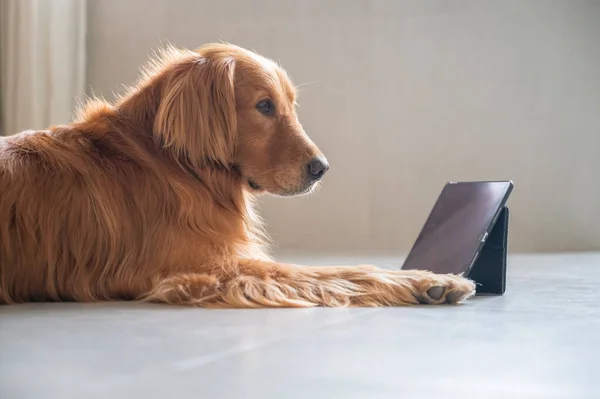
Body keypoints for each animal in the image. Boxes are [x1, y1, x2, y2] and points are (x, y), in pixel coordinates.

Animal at [1, 43, 478, 306]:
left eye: (289, 105)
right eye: (263, 105)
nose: (322, 169)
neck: (175, 166)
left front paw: (432, 280)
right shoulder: (206, 268)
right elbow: (340, 271)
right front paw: (428, 280)